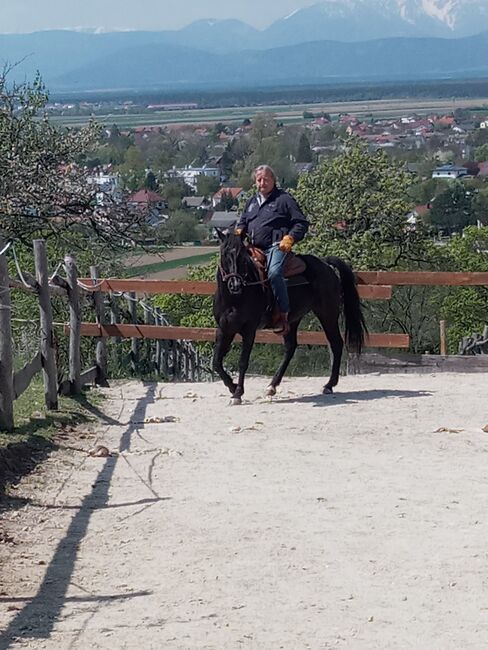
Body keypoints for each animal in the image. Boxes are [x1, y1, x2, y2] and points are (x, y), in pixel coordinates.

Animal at [212, 228, 368, 400]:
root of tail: (325, 263)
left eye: (242, 256)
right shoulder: (224, 329)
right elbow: (216, 362)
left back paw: (329, 385)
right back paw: (272, 386)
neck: (234, 299)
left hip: (327, 314)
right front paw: (232, 387)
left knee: (336, 344)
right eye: (224, 254)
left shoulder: (249, 330)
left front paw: (238, 392)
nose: (235, 285)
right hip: (292, 320)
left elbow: (243, 362)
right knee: (290, 348)